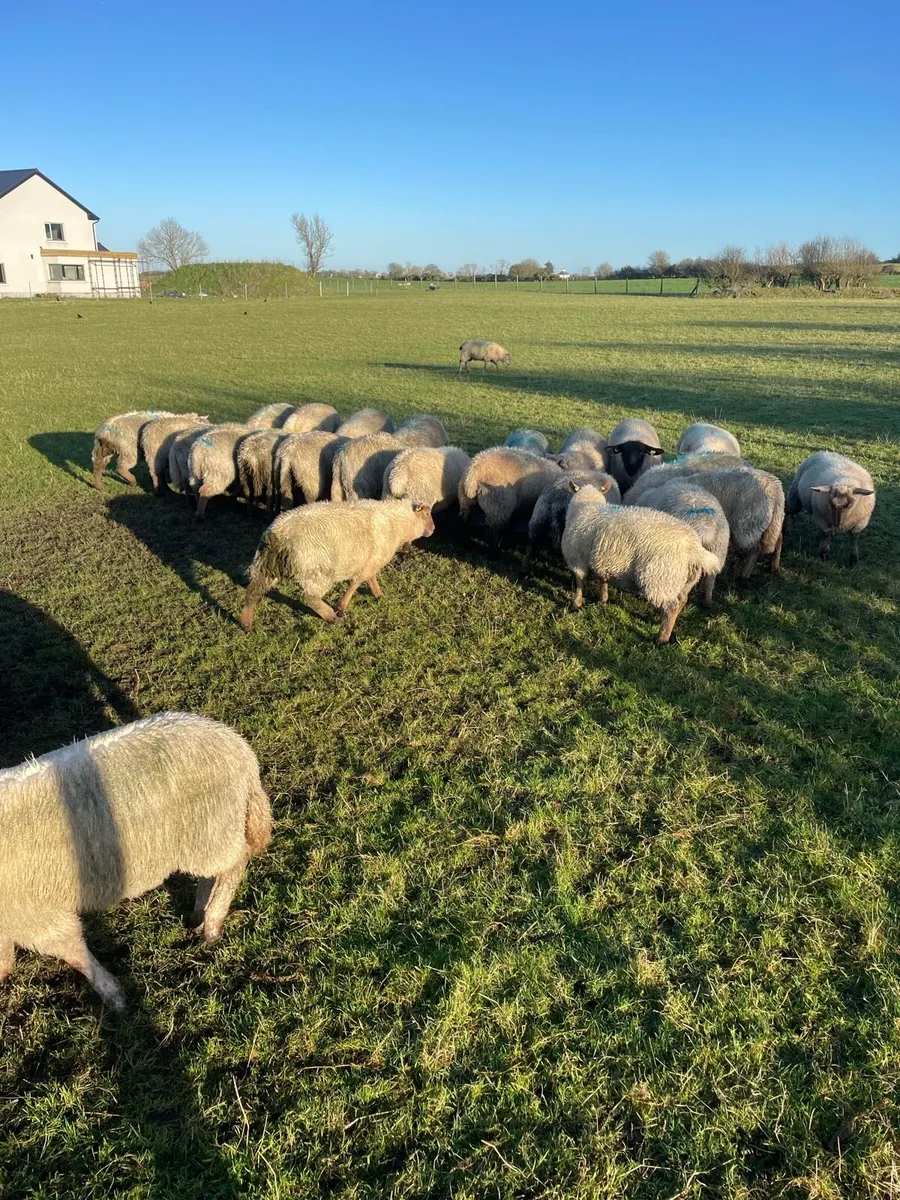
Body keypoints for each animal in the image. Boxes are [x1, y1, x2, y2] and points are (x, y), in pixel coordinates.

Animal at [0, 711, 271, 1013]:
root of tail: (238, 746)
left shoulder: (31, 913)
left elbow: (72, 951)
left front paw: (114, 996)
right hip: (207, 836)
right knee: (211, 874)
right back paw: (198, 915)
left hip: (214, 827)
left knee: (233, 867)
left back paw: (213, 923)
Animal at [240, 498, 435, 627]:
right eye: (427, 513)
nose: (433, 530)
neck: (397, 523)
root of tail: (278, 534)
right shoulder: (372, 560)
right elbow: (356, 583)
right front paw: (341, 607)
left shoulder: (370, 560)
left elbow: (370, 578)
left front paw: (378, 593)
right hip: (317, 571)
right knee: (310, 598)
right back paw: (330, 616)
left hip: (265, 567)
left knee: (253, 592)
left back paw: (246, 623)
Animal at [561, 484, 721, 643]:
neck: (588, 508)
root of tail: (694, 548)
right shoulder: (602, 561)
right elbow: (603, 580)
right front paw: (603, 600)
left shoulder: (577, 559)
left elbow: (580, 582)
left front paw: (576, 604)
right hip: (682, 582)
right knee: (681, 601)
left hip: (660, 579)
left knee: (672, 607)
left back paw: (662, 638)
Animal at [625, 465, 784, 577]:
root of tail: (775, 487)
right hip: (772, 521)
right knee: (778, 537)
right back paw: (774, 565)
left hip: (747, 523)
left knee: (755, 548)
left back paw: (744, 574)